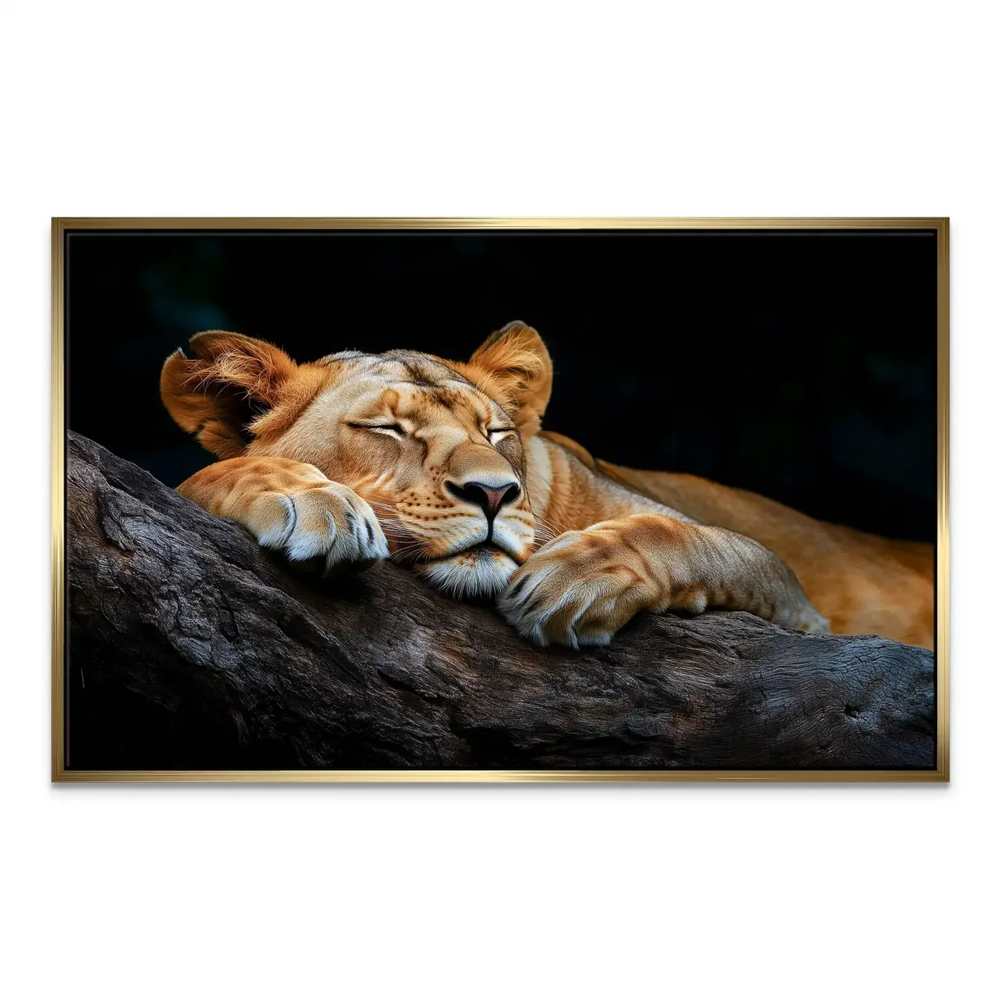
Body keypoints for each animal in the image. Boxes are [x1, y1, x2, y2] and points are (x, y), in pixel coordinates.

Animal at [160, 321, 934, 650]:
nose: (494, 494)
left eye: (497, 432)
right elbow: (201, 473)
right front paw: (309, 497)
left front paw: (576, 579)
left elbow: (686, 536)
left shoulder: (798, 605)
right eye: (387, 429)